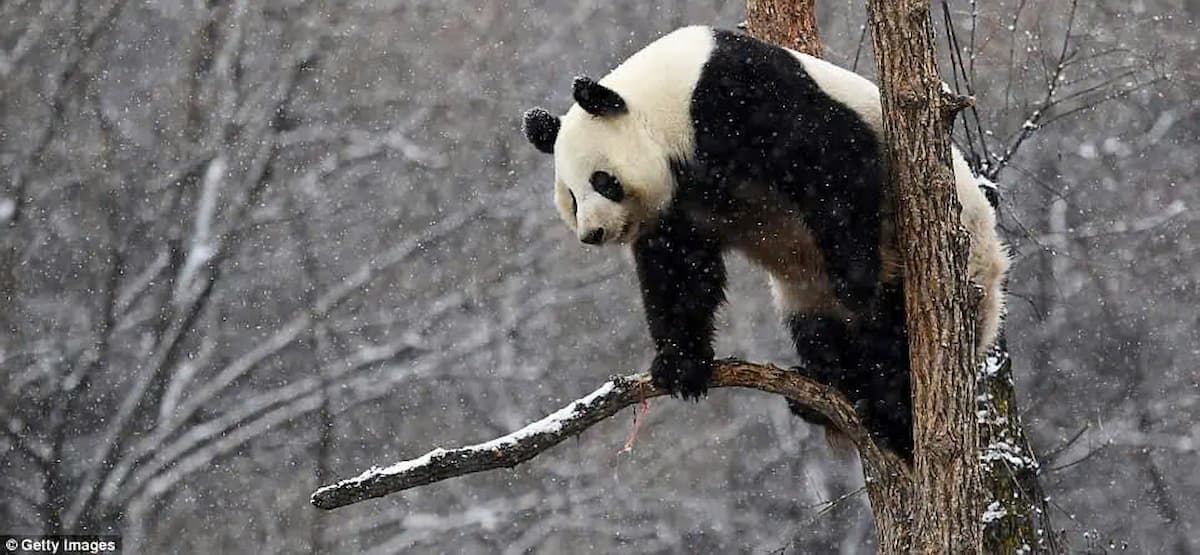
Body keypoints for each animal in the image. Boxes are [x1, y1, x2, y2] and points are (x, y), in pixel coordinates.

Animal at [520, 24, 1008, 454]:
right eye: (571, 198)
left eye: (603, 181)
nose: (593, 233)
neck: (660, 104)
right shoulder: (679, 203)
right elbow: (679, 269)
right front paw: (680, 366)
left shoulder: (736, 95)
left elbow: (833, 156)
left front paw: (855, 279)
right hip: (806, 298)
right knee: (819, 331)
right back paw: (828, 389)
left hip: (954, 274)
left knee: (891, 337)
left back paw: (890, 411)